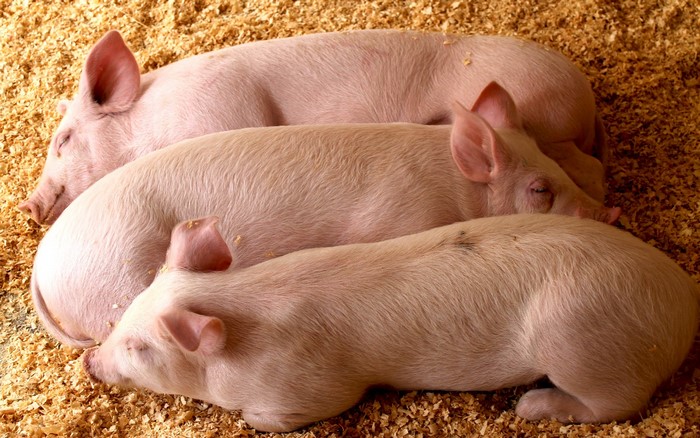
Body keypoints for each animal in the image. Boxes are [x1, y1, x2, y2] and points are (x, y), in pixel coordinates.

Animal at [19, 29, 608, 225]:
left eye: (63, 140)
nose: (28, 204)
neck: (147, 128)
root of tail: (585, 97)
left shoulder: (223, 111)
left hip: (542, 118)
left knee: (591, 170)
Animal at [31, 83, 621, 349]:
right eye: (540, 188)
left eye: (551, 162)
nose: (609, 211)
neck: (451, 185)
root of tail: (42, 263)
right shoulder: (400, 217)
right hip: (115, 278)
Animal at [82, 214, 700, 432]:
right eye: (128, 309)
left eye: (139, 347)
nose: (88, 359)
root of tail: (682, 299)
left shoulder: (311, 388)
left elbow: (278, 417)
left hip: (579, 337)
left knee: (617, 404)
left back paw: (530, 406)